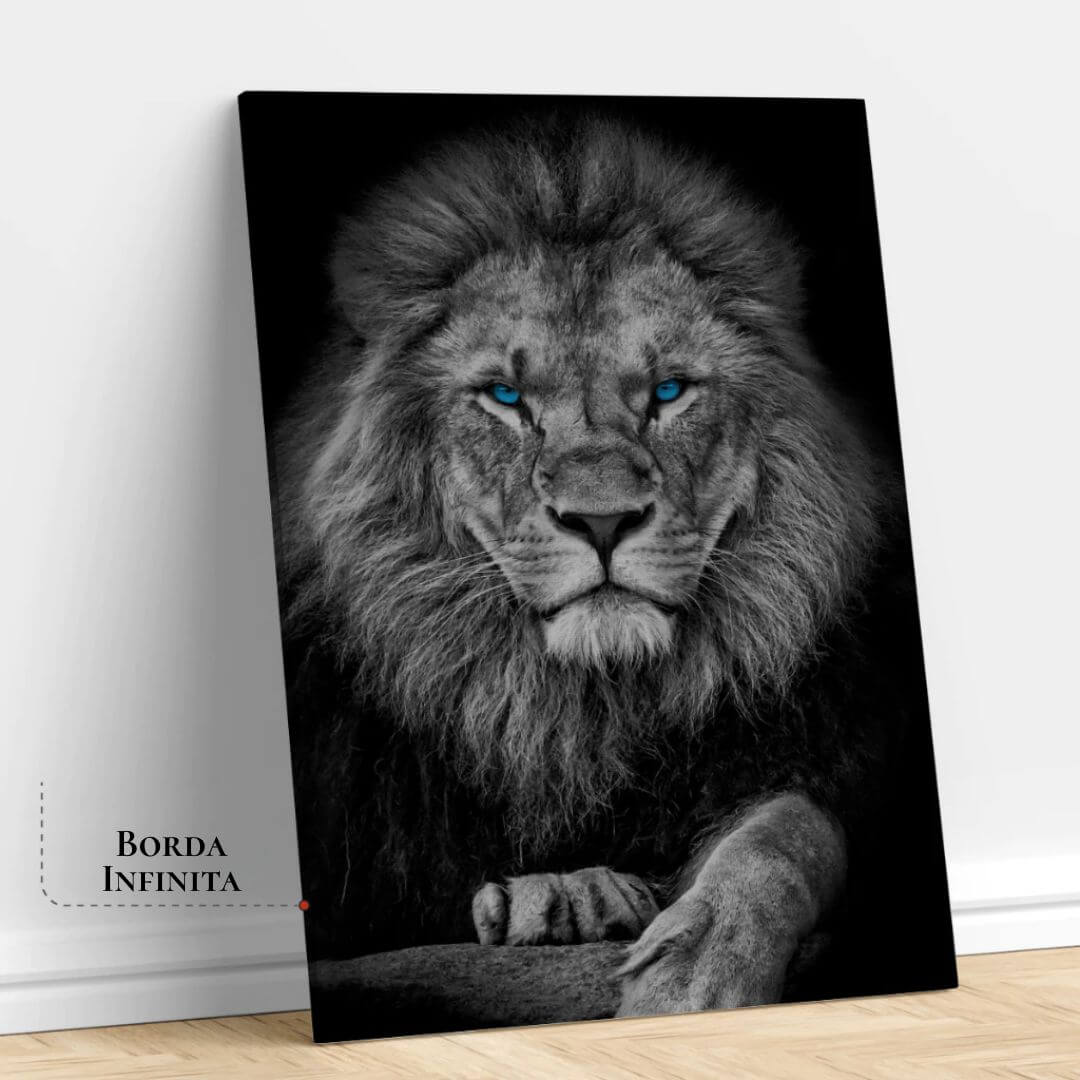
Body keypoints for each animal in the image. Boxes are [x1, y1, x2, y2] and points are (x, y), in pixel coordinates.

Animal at [270, 114, 954, 1036]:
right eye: (504, 397)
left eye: (668, 392)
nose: (601, 520)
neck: (575, 716)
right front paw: (566, 906)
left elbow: (787, 834)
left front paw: (695, 972)